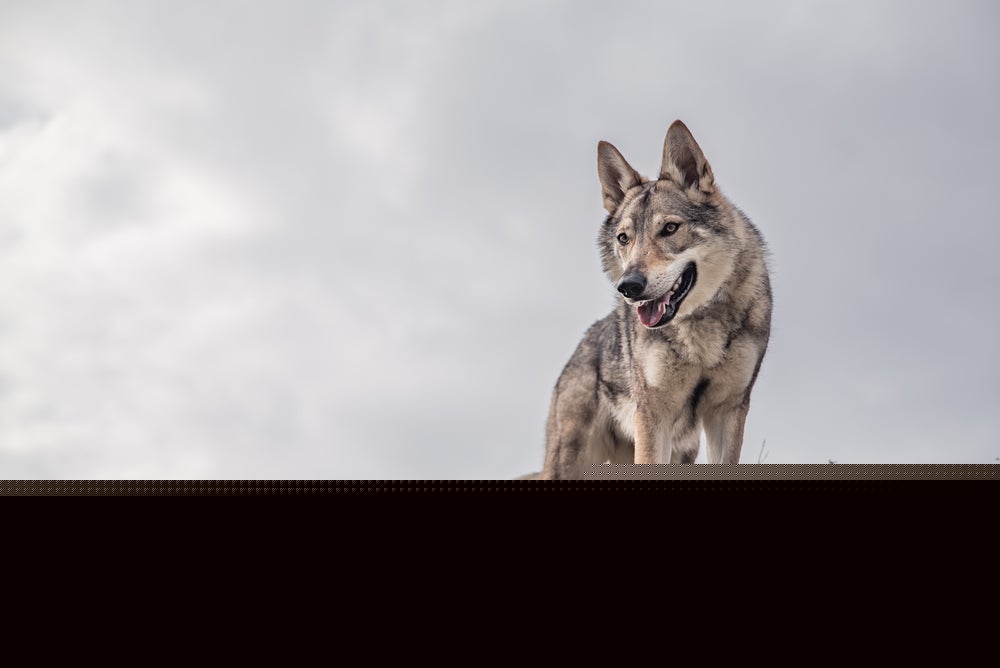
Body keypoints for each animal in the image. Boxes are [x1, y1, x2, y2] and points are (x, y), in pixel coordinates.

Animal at [528, 120, 772, 479]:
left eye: (669, 228)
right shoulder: (654, 414)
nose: (628, 286)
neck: (699, 337)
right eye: (623, 239)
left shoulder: (727, 411)